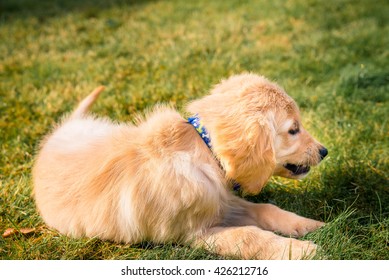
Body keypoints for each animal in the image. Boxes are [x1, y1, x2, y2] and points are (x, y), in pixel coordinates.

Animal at [32, 73, 328, 260]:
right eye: (293, 130)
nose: (324, 151)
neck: (204, 150)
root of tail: (58, 132)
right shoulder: (194, 232)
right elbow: (248, 236)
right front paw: (302, 251)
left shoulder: (222, 202)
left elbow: (266, 209)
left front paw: (308, 225)